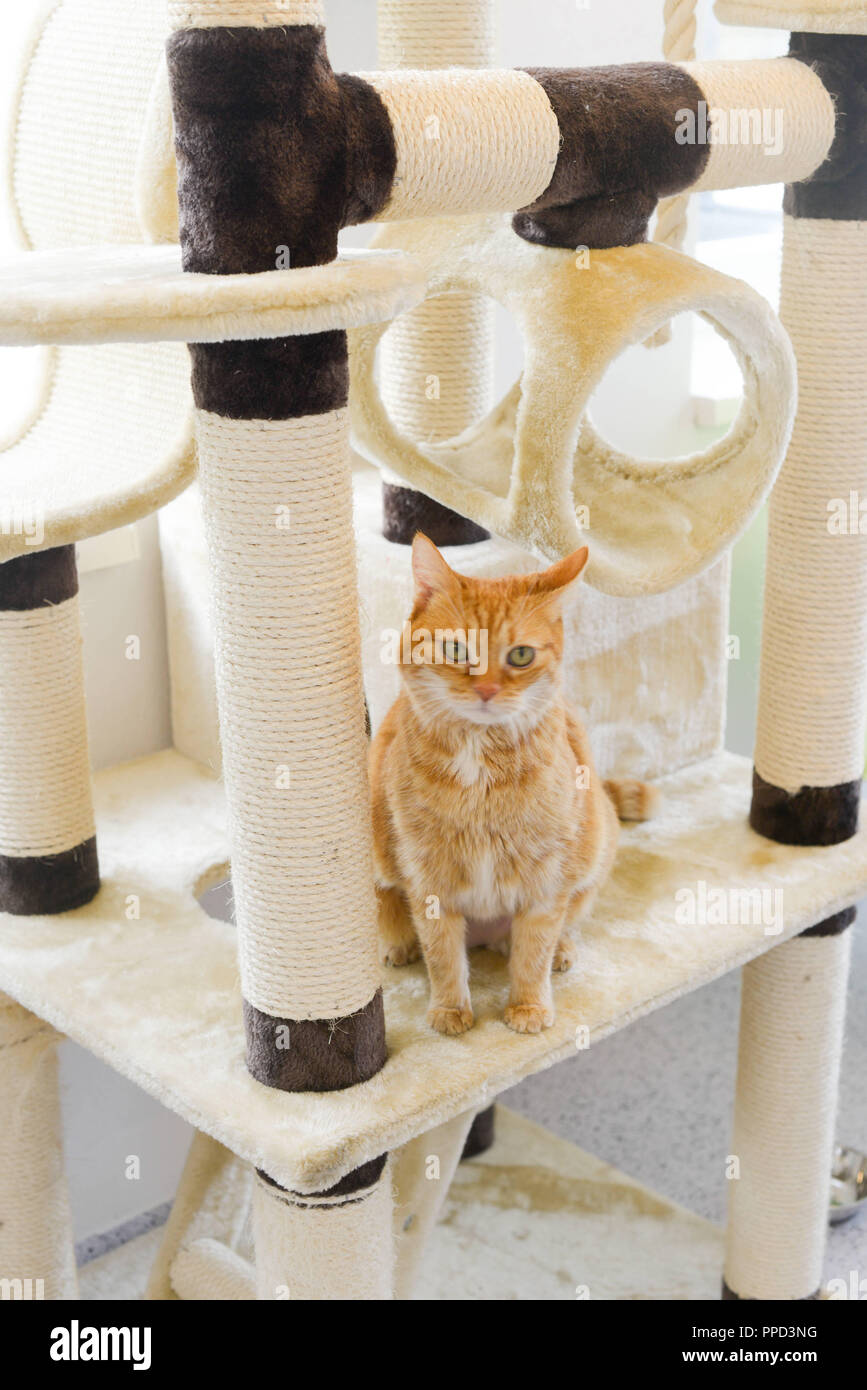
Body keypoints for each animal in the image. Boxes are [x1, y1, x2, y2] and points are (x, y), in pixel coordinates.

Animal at [366, 536, 655, 1039]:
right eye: (456, 649)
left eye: (520, 655)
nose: (486, 690)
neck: (480, 768)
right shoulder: (429, 879)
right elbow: (443, 956)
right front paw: (450, 1010)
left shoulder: (546, 881)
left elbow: (532, 953)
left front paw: (528, 1007)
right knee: (391, 910)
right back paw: (400, 946)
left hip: (594, 859)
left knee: (561, 927)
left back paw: (562, 951)